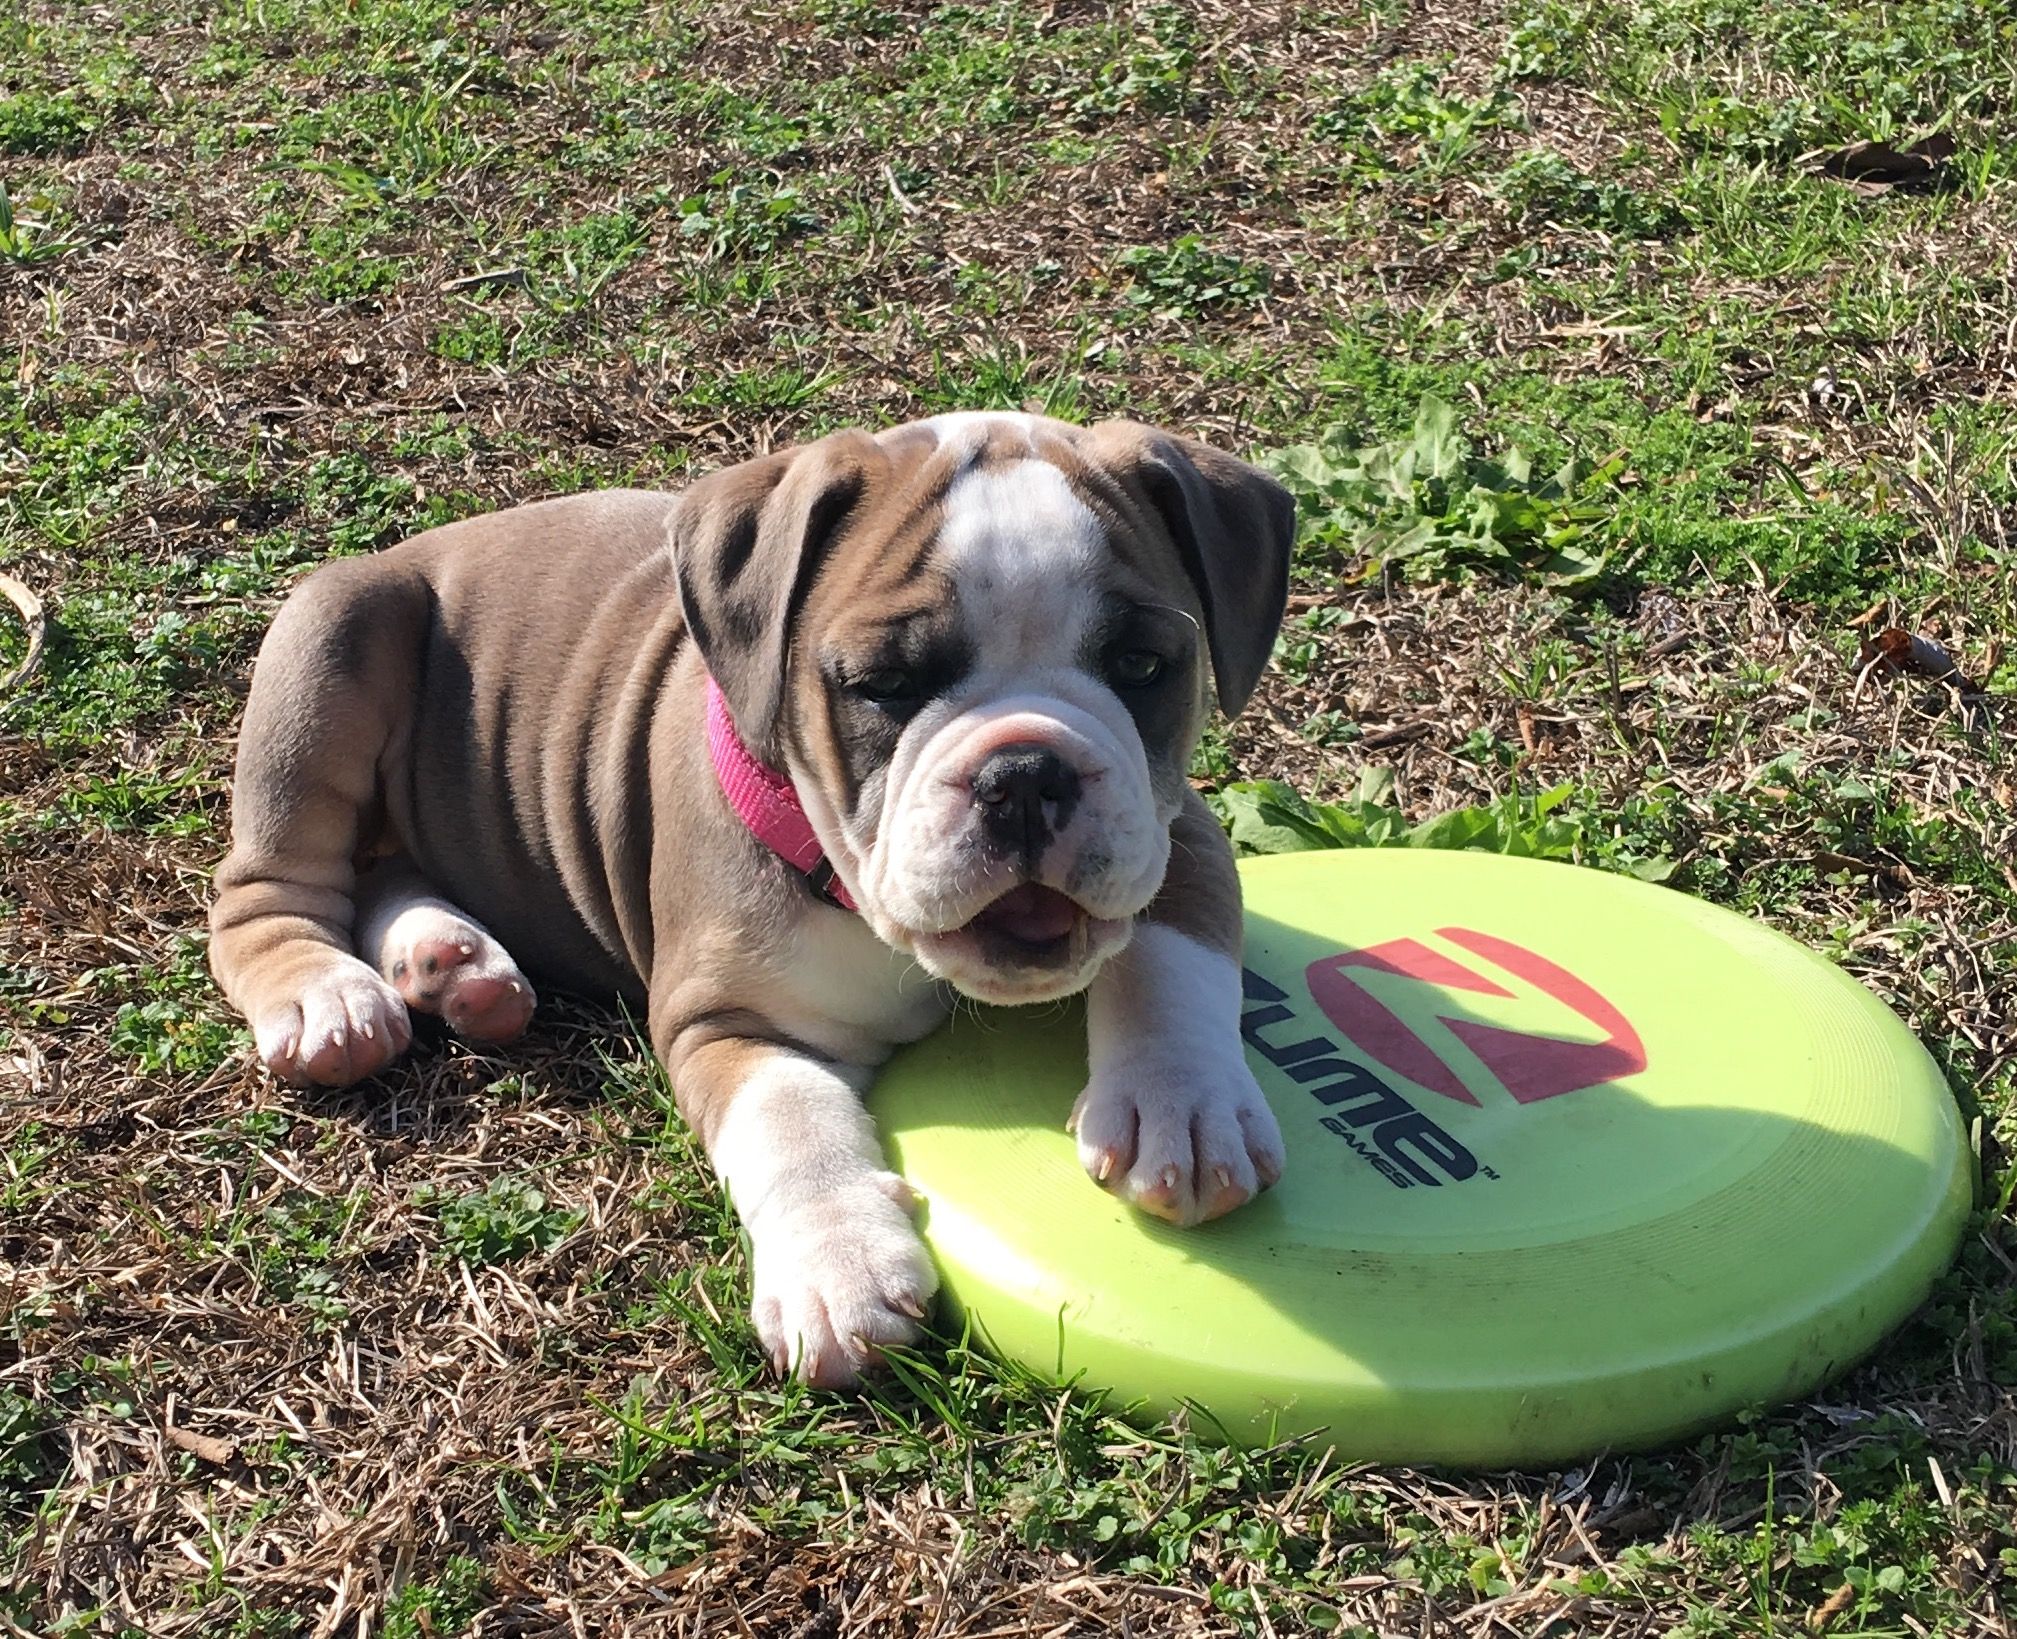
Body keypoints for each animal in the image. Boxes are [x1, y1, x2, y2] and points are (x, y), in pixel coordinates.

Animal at [208, 411, 1295, 1385]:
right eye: (883, 684)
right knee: (266, 890)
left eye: (1142, 666)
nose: (1024, 773)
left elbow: (1174, 957)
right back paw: (328, 997)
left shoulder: (1175, 833)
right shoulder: (726, 1018)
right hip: (336, 644)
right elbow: (792, 1118)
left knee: (385, 867)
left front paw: (1180, 1108)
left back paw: (451, 961)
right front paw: (838, 1267)